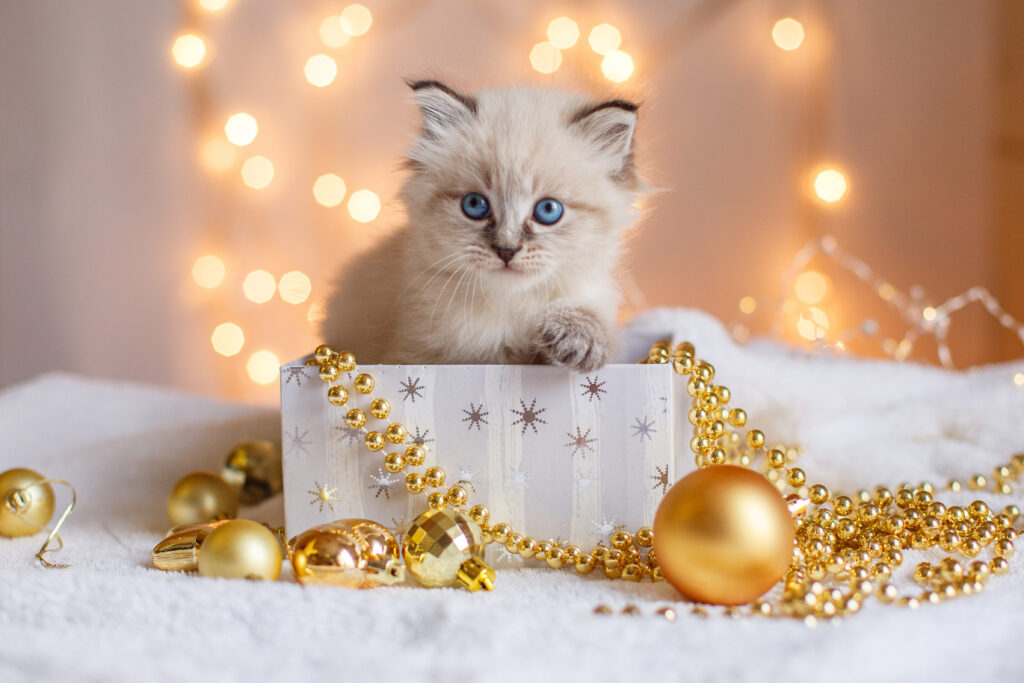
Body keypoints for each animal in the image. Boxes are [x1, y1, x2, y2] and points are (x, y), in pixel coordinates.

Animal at [321, 81, 638, 374]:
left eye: (548, 210)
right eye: (475, 205)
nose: (506, 250)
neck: (510, 309)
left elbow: (590, 323)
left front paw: (575, 338)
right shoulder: (418, 356)